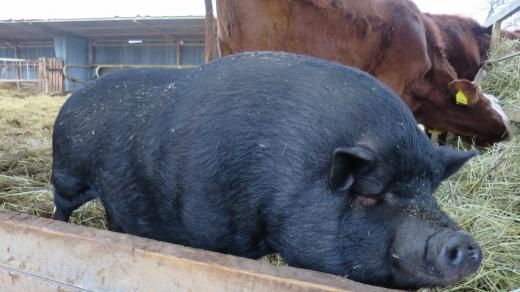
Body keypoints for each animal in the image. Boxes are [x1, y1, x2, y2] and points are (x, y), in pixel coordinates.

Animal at [50, 51, 482, 288]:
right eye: (370, 193)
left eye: (430, 191)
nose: (463, 240)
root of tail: (72, 97)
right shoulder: (210, 219)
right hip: (66, 173)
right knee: (62, 205)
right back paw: (59, 226)